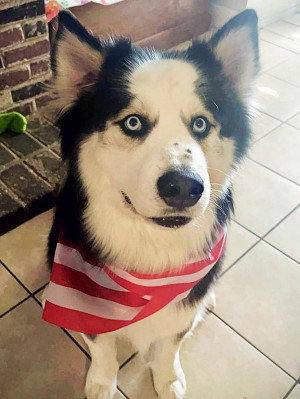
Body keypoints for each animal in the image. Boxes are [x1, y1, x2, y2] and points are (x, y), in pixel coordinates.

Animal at [46, 9, 258, 399]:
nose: (183, 188)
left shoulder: (180, 309)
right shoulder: (87, 302)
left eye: (201, 124)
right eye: (133, 123)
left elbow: (170, 343)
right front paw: (102, 382)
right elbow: (101, 346)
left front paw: (167, 378)